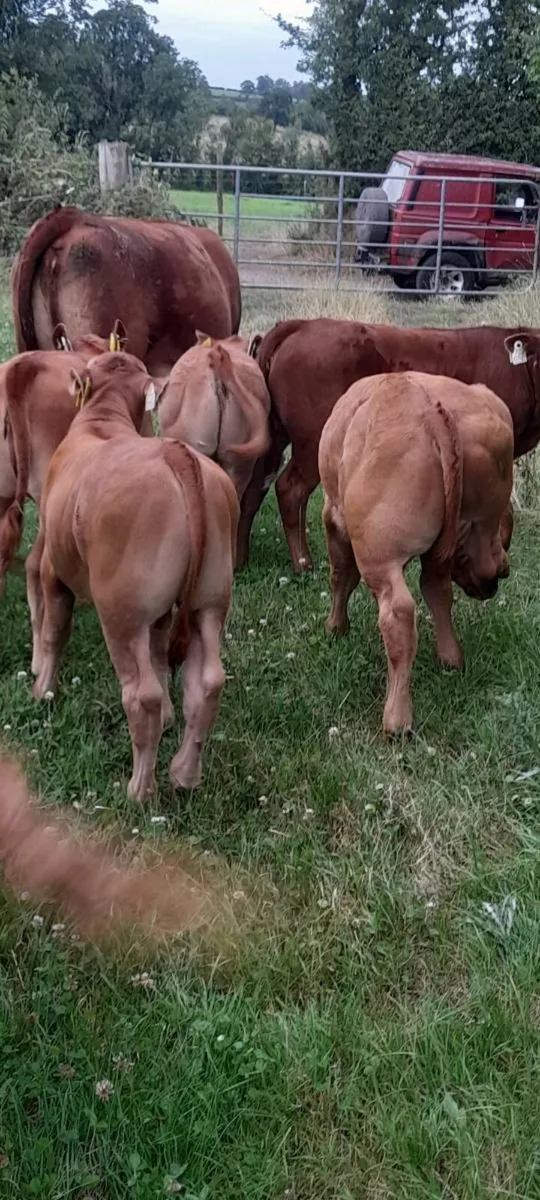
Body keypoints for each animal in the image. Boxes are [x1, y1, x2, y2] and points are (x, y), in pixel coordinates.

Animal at [25, 352, 238, 799]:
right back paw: (184, 773)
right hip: (209, 601)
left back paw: (141, 787)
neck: (101, 419)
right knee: (207, 682)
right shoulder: (159, 614)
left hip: (121, 615)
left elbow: (54, 632)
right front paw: (172, 719)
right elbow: (159, 657)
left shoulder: (54, 567)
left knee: (143, 694)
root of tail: (176, 455)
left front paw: (43, 691)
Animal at [239, 318, 540, 572]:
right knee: (290, 489)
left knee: (256, 486)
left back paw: (242, 558)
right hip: (312, 441)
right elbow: (502, 512)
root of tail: (301, 324)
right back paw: (303, 563)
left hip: (275, 435)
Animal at [319, 371, 514, 734]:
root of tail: (429, 407)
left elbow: (341, 576)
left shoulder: (334, 519)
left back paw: (396, 719)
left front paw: (335, 628)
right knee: (439, 590)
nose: (500, 574)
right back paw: (451, 658)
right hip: (472, 529)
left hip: (379, 556)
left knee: (398, 614)